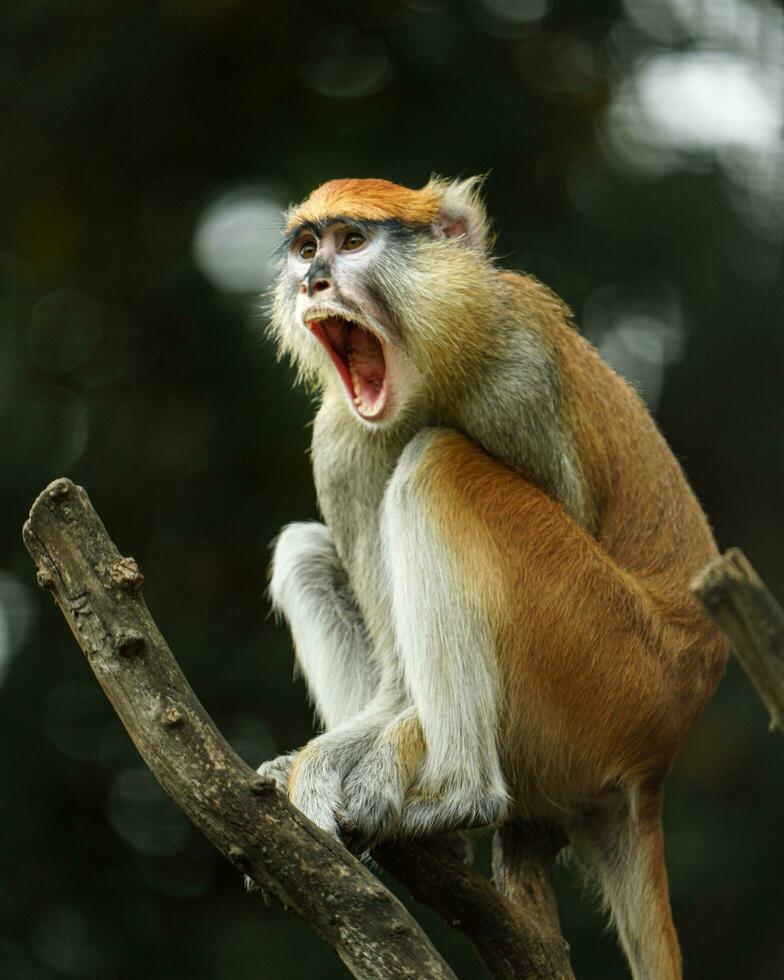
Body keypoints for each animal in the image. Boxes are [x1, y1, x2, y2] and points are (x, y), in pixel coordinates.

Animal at [258, 178, 728, 980]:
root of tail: (658, 758)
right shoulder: (341, 441)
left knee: (437, 465)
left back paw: (459, 794)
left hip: (609, 664)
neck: (434, 369)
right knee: (305, 550)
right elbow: (395, 679)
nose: (314, 281)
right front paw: (326, 762)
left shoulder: (523, 378)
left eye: (352, 242)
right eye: (306, 247)